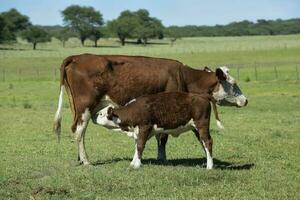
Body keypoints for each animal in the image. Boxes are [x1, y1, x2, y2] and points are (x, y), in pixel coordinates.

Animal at [52, 54, 247, 165]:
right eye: (233, 84)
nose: (245, 100)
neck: (184, 76)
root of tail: (77, 57)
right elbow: (163, 137)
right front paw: (162, 158)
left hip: (77, 109)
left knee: (78, 132)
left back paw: (79, 158)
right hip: (85, 107)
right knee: (78, 131)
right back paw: (86, 161)